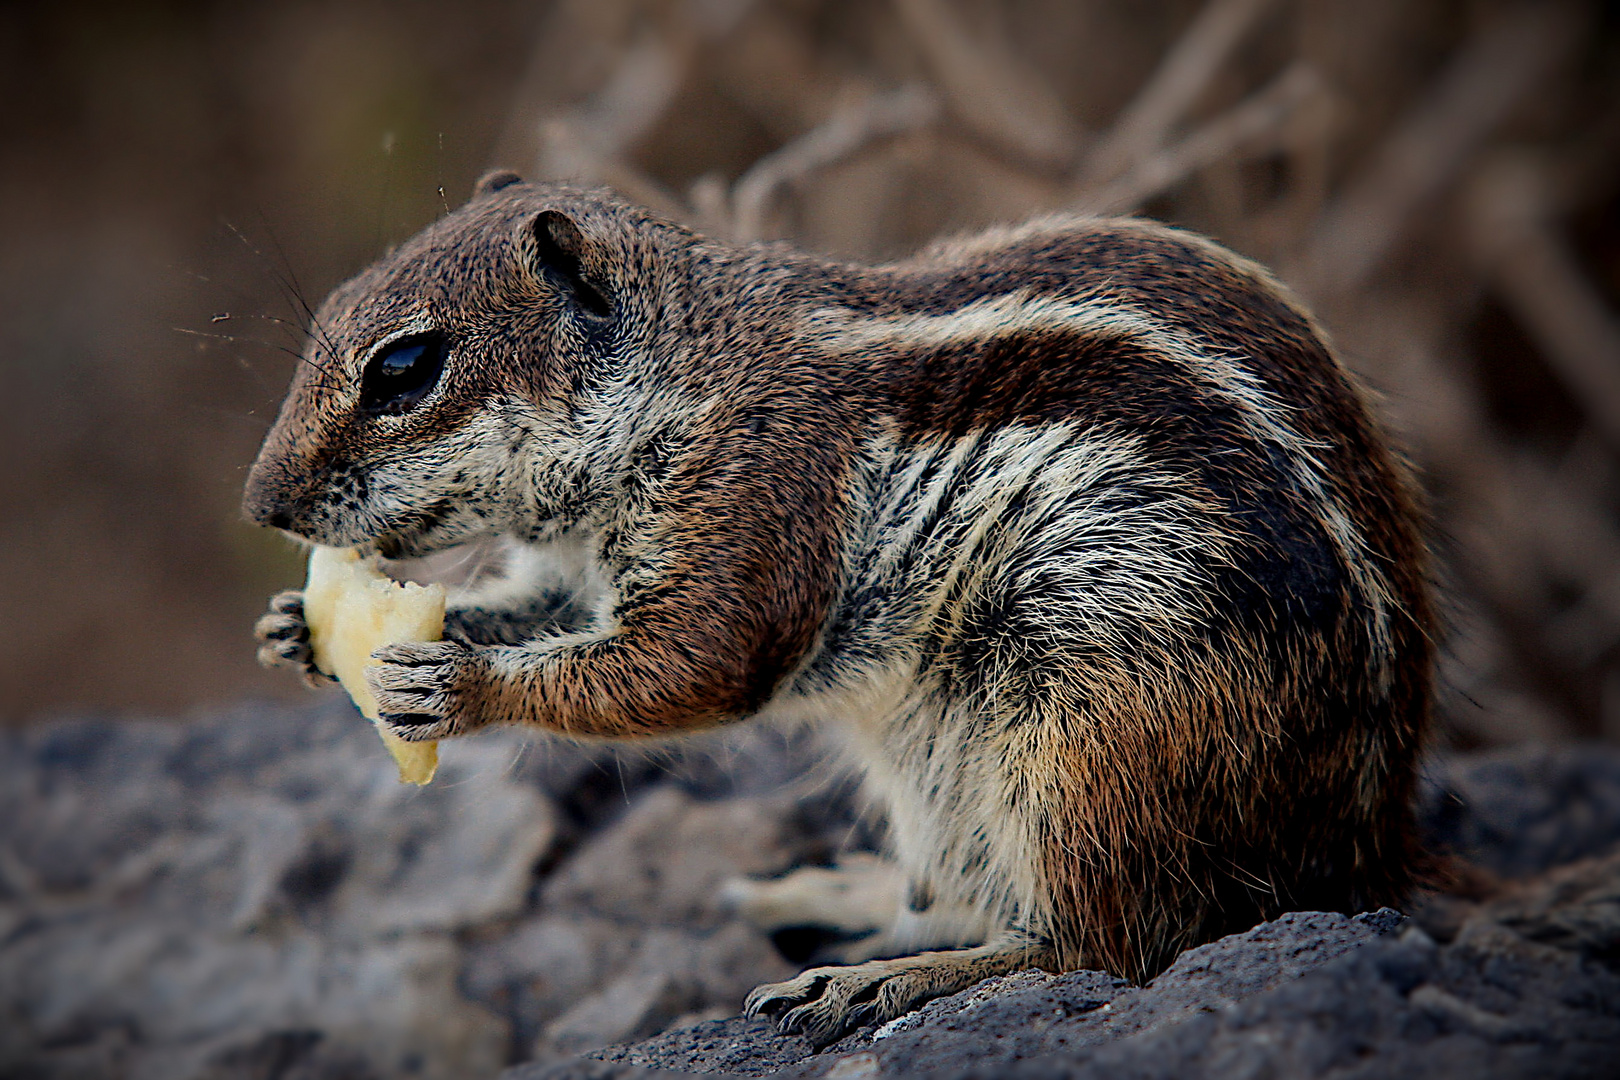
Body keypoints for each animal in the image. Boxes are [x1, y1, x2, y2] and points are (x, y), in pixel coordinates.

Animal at [246, 170, 1438, 1049]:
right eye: (334, 314)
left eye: (405, 367)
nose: (263, 505)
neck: (689, 371)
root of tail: (1365, 847)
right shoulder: (580, 573)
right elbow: (536, 605)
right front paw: (296, 632)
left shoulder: (759, 506)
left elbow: (693, 665)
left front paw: (457, 685)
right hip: (940, 758)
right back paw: (845, 898)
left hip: (1092, 737)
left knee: (1110, 941)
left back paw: (892, 979)